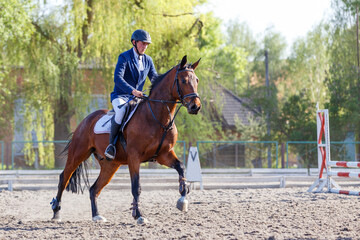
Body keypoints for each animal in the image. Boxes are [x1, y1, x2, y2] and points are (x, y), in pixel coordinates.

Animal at [50, 55, 201, 224]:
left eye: (196, 80)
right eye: (183, 81)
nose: (195, 107)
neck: (157, 117)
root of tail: (85, 120)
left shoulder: (164, 155)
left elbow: (181, 167)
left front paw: (183, 198)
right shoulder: (134, 157)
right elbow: (136, 187)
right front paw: (139, 215)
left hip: (110, 165)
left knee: (94, 189)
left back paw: (96, 215)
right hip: (78, 154)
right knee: (64, 178)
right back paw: (56, 212)